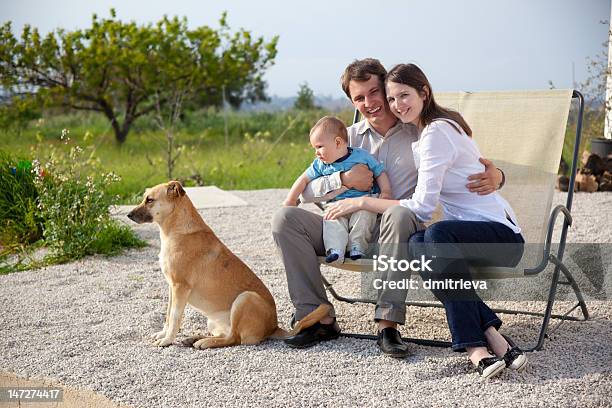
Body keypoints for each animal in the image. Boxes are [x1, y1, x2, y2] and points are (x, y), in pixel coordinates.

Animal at [127, 180, 330, 350]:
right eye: (144, 197)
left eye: (150, 200)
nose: (128, 215)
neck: (177, 230)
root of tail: (273, 327)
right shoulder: (172, 288)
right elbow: (168, 315)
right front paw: (163, 334)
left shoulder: (180, 287)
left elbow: (175, 318)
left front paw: (167, 340)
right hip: (213, 320)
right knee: (225, 335)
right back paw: (194, 339)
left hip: (245, 299)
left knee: (233, 339)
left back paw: (203, 342)